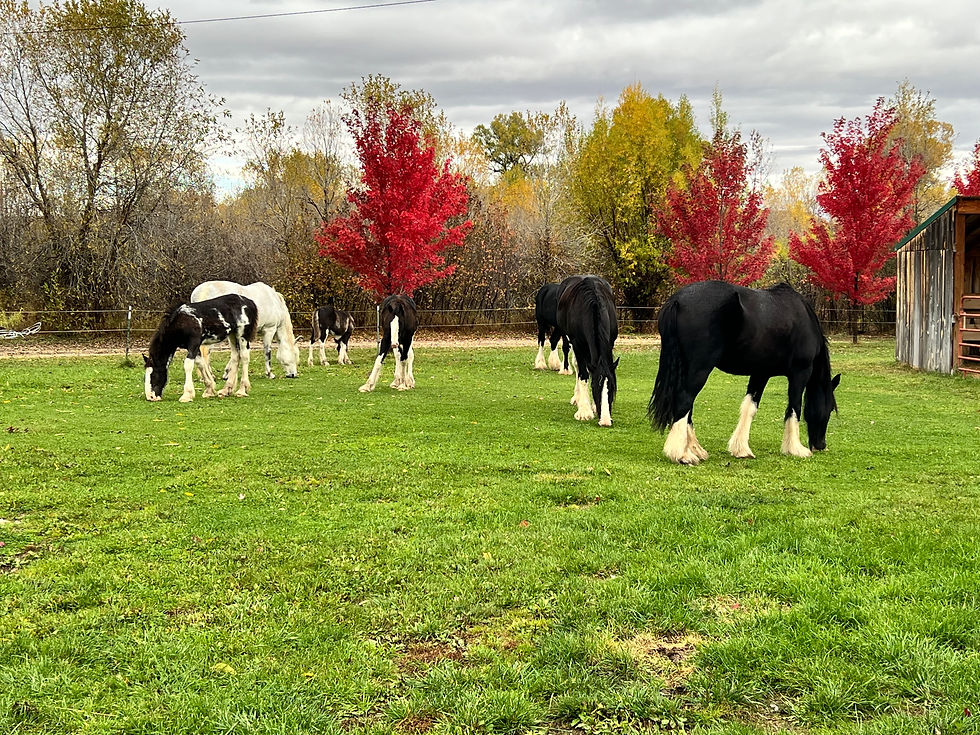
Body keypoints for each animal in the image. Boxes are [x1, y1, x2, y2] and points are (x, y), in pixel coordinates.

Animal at [556, 275, 619, 426]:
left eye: (612, 388)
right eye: (595, 387)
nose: (605, 421)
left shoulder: (610, 342)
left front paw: (594, 407)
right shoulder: (577, 344)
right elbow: (583, 375)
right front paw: (584, 411)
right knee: (577, 366)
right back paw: (577, 398)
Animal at [648, 280, 840, 465]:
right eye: (830, 408)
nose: (820, 445)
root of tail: (677, 300)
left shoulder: (760, 373)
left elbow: (750, 407)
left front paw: (741, 449)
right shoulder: (800, 373)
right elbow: (794, 408)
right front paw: (796, 449)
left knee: (688, 407)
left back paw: (695, 450)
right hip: (699, 369)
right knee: (684, 401)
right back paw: (682, 455)